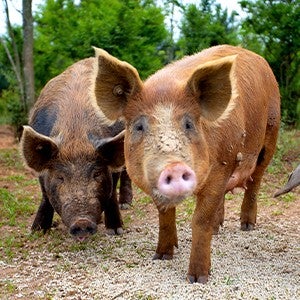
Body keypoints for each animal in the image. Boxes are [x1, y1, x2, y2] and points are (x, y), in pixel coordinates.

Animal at [21, 57, 132, 240]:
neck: (76, 133)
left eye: (97, 174)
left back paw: (126, 205)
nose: (82, 222)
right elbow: (45, 195)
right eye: (60, 177)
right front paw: (37, 231)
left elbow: (111, 194)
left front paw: (116, 230)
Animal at [92, 45, 280, 282]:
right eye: (139, 126)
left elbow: (200, 219)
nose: (174, 166)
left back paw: (247, 226)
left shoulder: (220, 168)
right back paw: (218, 228)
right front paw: (162, 256)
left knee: (256, 180)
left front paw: (198, 279)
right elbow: (164, 215)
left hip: (270, 133)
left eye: (189, 124)